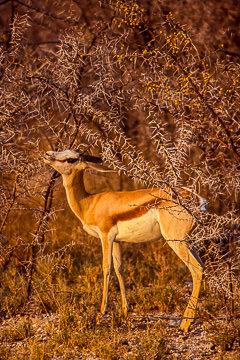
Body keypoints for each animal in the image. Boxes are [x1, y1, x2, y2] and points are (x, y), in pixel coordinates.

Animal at [43, 149, 204, 332]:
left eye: (71, 159)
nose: (48, 154)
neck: (89, 203)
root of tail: (196, 199)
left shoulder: (105, 236)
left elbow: (106, 268)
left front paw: (101, 314)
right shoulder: (117, 241)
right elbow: (120, 269)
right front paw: (125, 311)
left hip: (175, 240)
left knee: (196, 269)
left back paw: (185, 324)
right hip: (187, 241)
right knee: (202, 267)